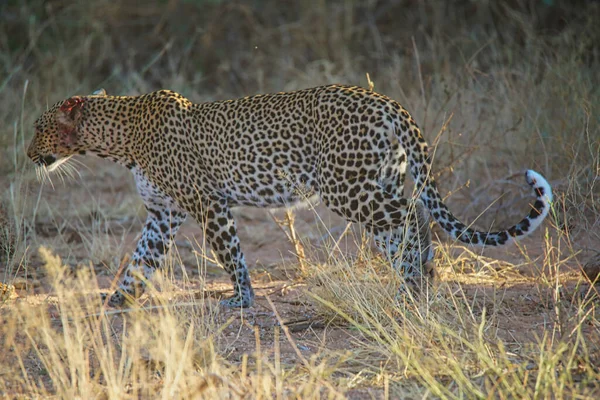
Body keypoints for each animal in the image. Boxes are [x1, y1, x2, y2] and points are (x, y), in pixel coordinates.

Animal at [28, 86, 552, 308]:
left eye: (38, 126)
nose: (28, 153)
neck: (119, 139)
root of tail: (389, 103)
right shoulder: (163, 214)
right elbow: (140, 261)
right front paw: (116, 300)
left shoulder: (208, 204)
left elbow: (231, 255)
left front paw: (242, 300)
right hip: (378, 181)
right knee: (403, 226)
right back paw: (415, 283)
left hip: (348, 188)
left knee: (411, 218)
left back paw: (415, 283)